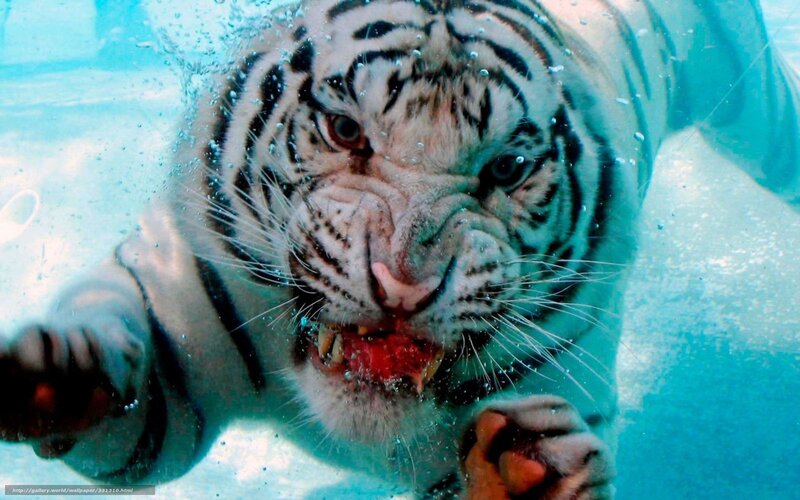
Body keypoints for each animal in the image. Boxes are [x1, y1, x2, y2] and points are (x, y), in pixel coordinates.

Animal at [1, 0, 798, 497]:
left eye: (507, 167)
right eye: (346, 130)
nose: (405, 283)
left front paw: (530, 472)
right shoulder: (179, 324)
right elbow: (126, 388)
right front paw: (58, 371)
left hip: (751, 101)